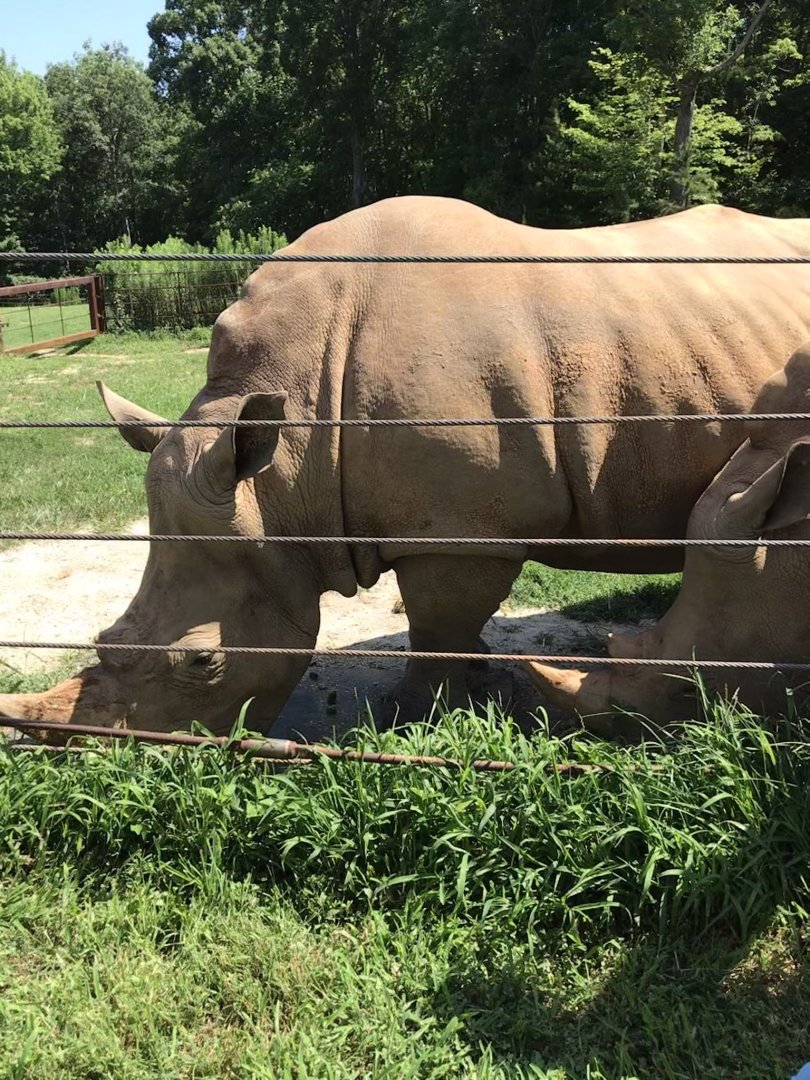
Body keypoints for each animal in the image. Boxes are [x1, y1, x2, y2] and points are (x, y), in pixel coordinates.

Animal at [2, 195, 810, 736]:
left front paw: (415, 716)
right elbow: (449, 624)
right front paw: (473, 684)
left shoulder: (459, 532)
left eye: (203, 666)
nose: (125, 755)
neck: (282, 475)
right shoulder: (453, 525)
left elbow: (437, 620)